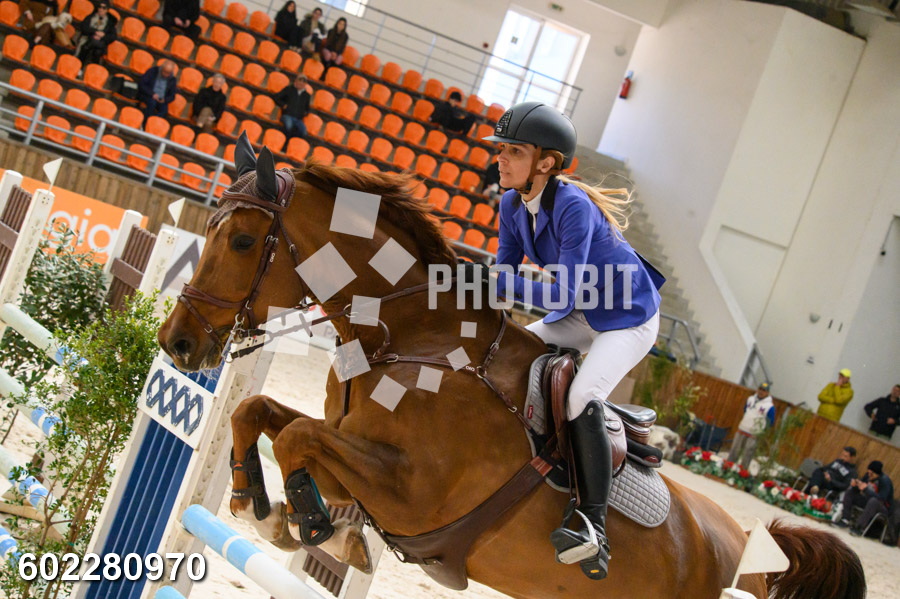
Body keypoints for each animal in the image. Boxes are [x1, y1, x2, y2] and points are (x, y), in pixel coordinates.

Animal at [158, 136, 865, 599]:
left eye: (243, 240)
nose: (177, 344)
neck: (409, 340)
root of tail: (747, 548)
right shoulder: (351, 454)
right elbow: (260, 414)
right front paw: (257, 498)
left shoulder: (414, 494)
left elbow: (298, 438)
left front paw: (304, 521)